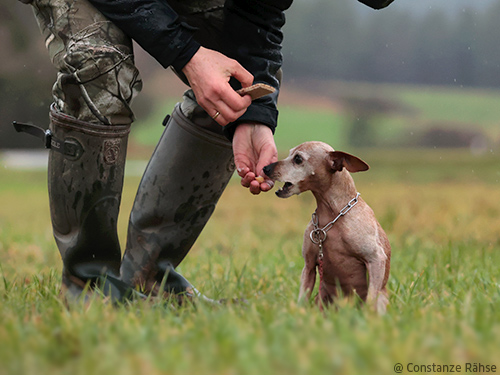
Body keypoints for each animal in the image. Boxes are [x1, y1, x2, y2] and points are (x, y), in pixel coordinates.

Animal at [262, 141, 390, 314]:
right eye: (289, 154)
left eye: (298, 159)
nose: (266, 168)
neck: (332, 214)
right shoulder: (309, 267)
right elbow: (302, 298)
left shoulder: (376, 259)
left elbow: (370, 299)